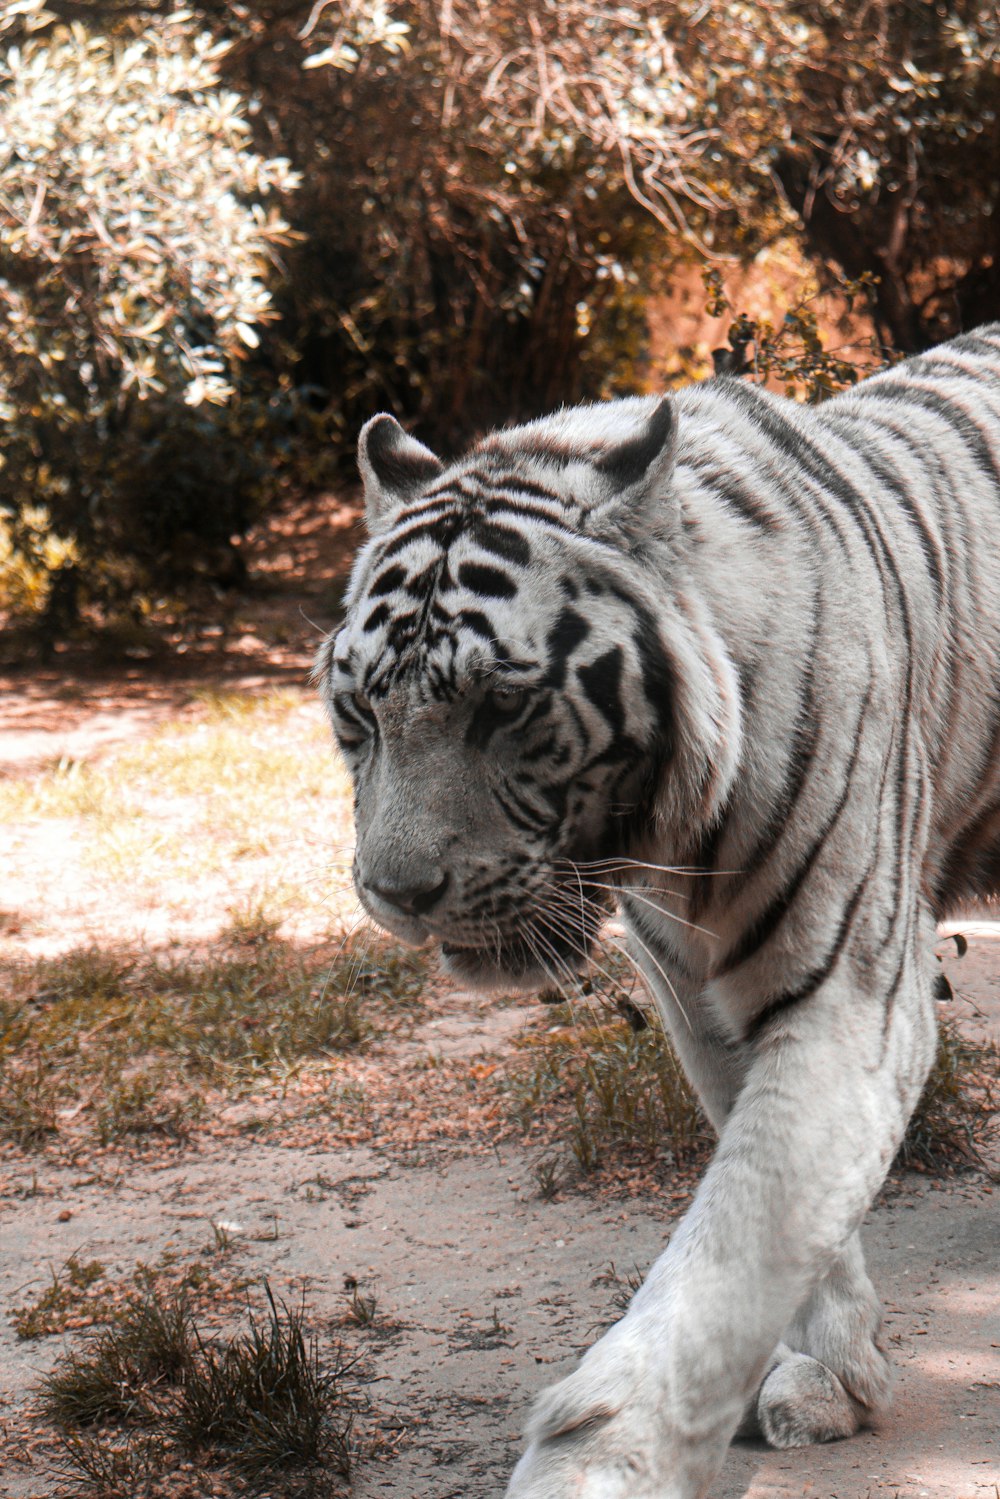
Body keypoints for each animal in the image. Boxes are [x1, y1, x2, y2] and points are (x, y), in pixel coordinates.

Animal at [314, 328, 1000, 1499]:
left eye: (502, 705)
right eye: (358, 712)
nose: (396, 893)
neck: (679, 836)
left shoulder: (852, 999)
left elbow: (735, 1241)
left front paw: (603, 1460)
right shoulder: (699, 998)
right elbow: (792, 1216)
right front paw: (841, 1373)